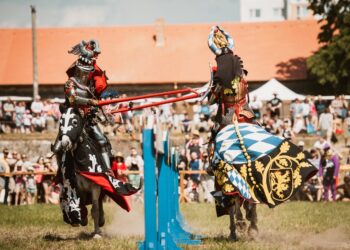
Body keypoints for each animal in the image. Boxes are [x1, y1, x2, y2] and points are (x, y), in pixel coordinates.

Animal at [55, 106, 142, 238]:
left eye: (75, 122)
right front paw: (82, 219)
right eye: (61, 122)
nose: (64, 142)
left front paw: (96, 234)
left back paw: (100, 223)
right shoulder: (75, 187)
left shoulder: (96, 186)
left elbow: (95, 209)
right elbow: (80, 206)